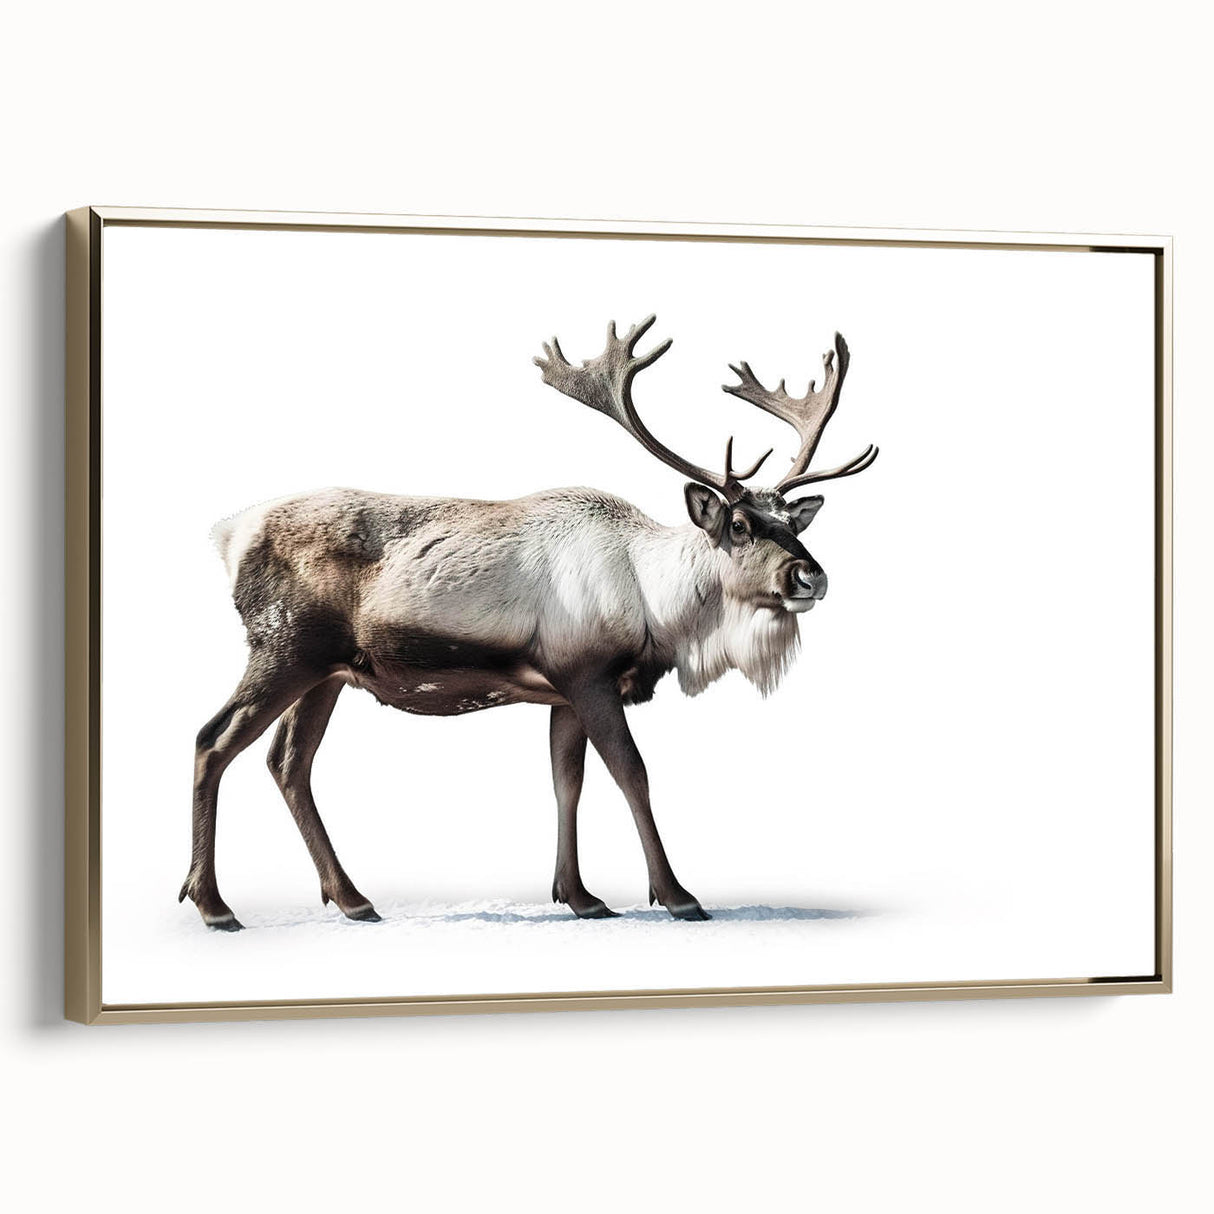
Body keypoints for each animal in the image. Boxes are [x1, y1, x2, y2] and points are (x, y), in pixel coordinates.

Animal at [180, 316, 878, 930]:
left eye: (792, 522)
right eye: (738, 524)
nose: (810, 577)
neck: (655, 606)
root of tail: (228, 534)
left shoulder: (562, 692)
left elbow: (566, 780)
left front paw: (581, 896)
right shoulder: (589, 675)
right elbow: (633, 773)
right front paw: (678, 895)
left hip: (327, 673)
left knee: (288, 761)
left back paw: (352, 899)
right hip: (283, 649)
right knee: (213, 740)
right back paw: (214, 906)